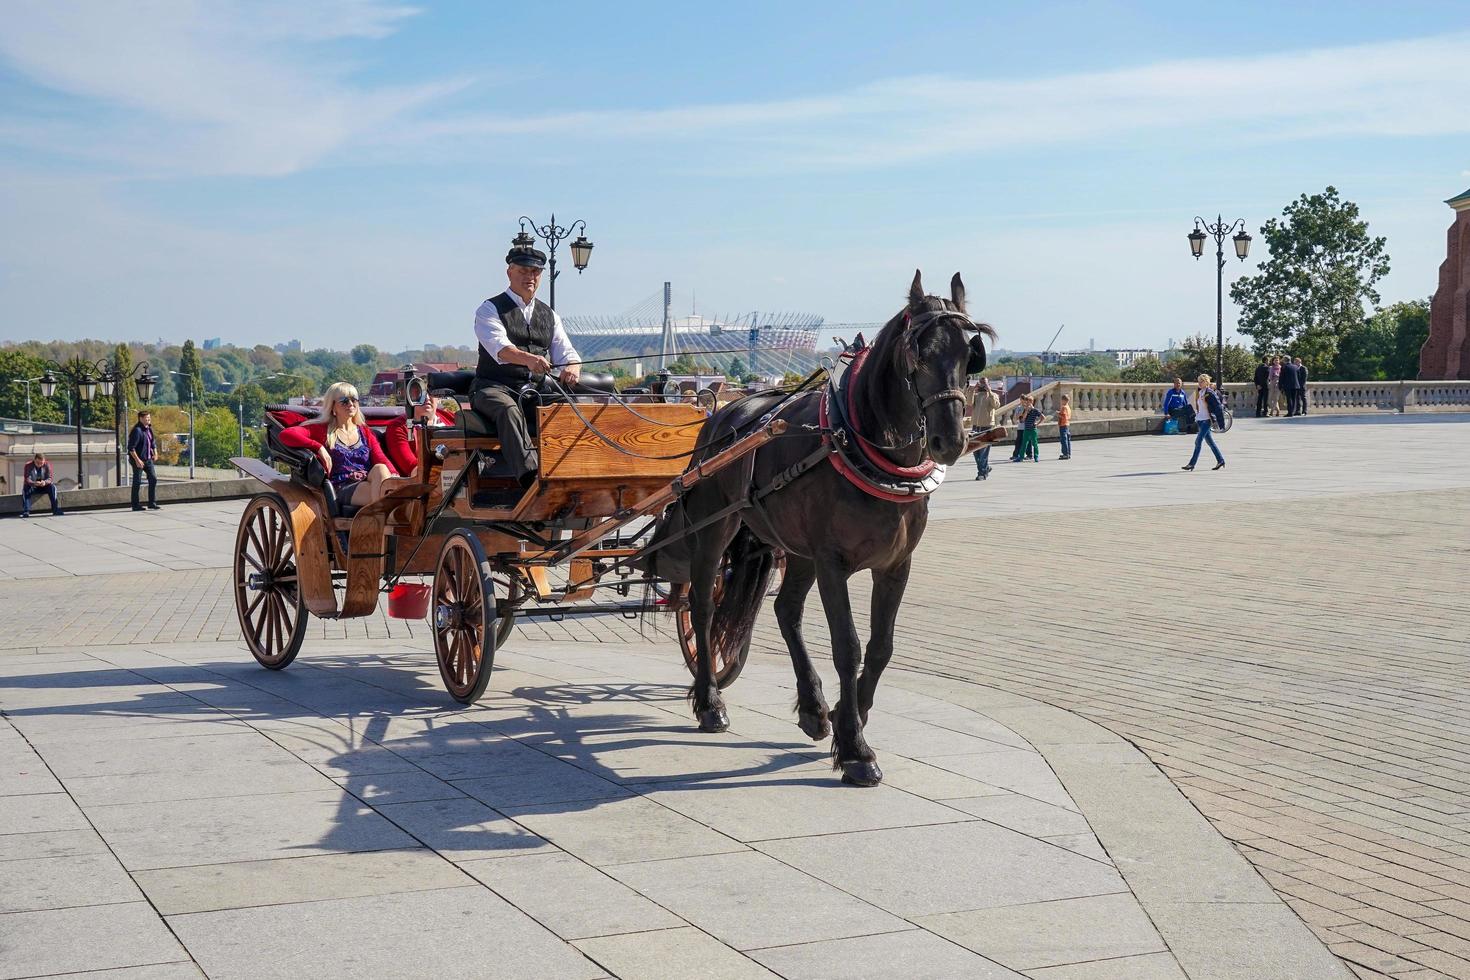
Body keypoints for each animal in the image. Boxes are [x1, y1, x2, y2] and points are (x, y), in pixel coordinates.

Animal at [646, 270, 999, 787]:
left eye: (970, 356)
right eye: (918, 353)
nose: (949, 440)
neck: (868, 451)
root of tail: (724, 412)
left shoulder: (896, 565)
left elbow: (881, 647)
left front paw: (849, 714)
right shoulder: (833, 563)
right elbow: (847, 647)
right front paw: (855, 749)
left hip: (795, 549)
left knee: (786, 611)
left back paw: (813, 709)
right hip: (718, 529)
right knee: (703, 607)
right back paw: (710, 702)